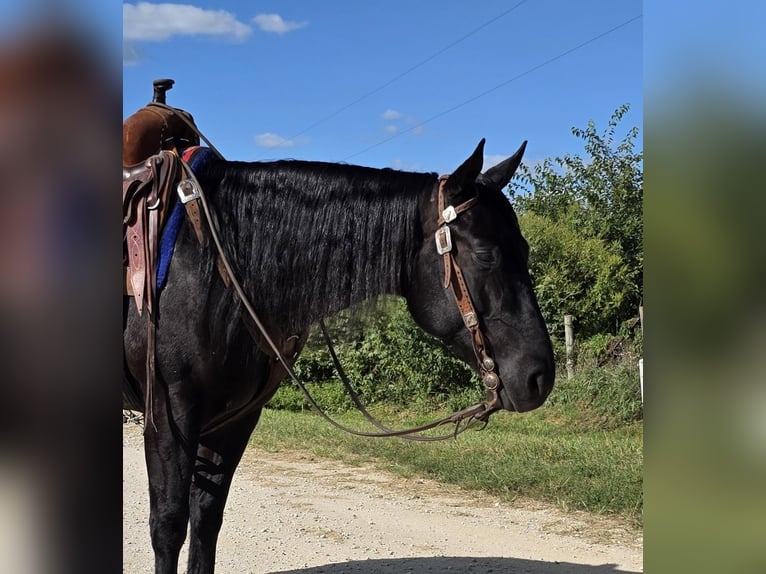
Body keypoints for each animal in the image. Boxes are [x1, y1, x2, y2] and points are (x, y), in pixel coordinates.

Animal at [123, 138, 555, 574]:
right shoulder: (170, 412)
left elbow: (206, 517)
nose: (539, 376)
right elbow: (168, 525)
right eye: (485, 254)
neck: (210, 264)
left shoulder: (236, 418)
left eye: (525, 248)